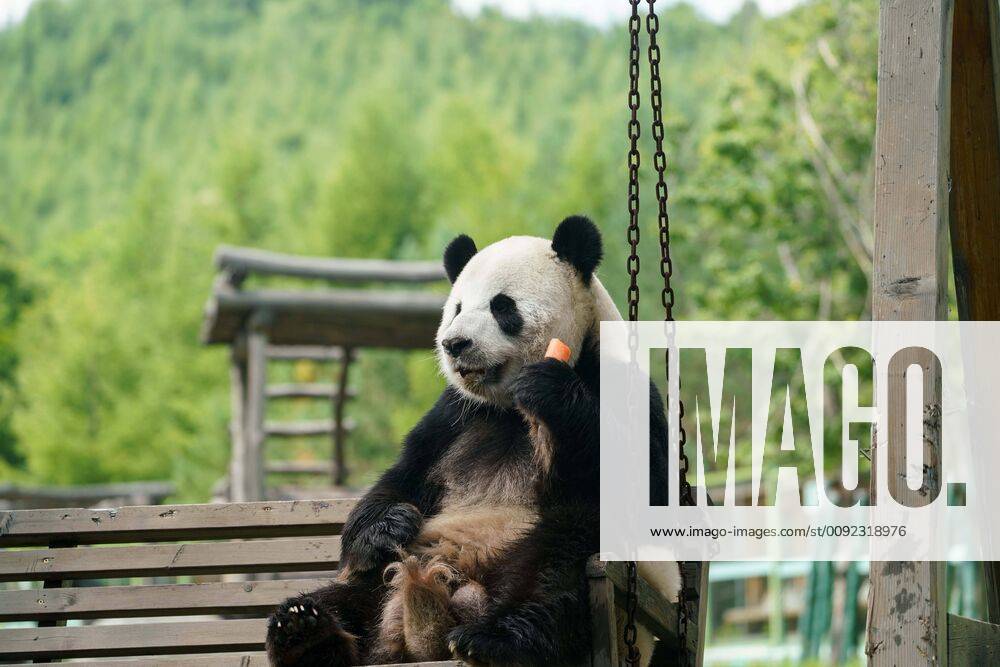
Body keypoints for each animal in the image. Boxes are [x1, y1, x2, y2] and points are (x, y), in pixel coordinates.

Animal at [265, 216, 680, 666]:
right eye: (458, 308)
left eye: (502, 306)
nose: (454, 343)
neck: (508, 405)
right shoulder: (455, 415)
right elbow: (403, 477)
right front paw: (389, 524)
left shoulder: (624, 386)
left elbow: (647, 485)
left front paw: (550, 389)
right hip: (380, 585)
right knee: (346, 597)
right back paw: (303, 630)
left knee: (559, 559)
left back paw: (494, 638)